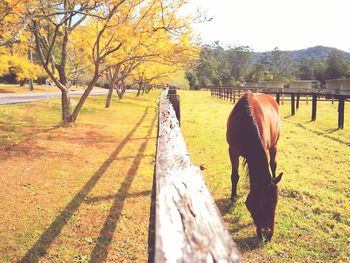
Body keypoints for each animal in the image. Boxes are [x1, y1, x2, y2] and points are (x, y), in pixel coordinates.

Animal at [227, 92, 282, 242]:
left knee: (273, 165)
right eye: (262, 204)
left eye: (276, 203)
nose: (268, 234)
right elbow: (234, 176)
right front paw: (233, 197)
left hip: (274, 145)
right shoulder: (232, 151)